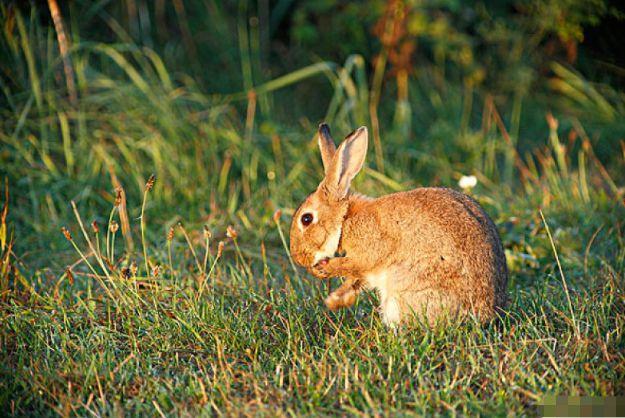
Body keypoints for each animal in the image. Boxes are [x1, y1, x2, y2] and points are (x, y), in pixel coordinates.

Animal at [288, 124, 508, 326]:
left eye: (306, 219)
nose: (299, 258)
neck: (346, 218)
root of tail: (487, 315)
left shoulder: (369, 250)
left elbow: (354, 264)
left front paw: (323, 270)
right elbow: (356, 280)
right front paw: (334, 301)